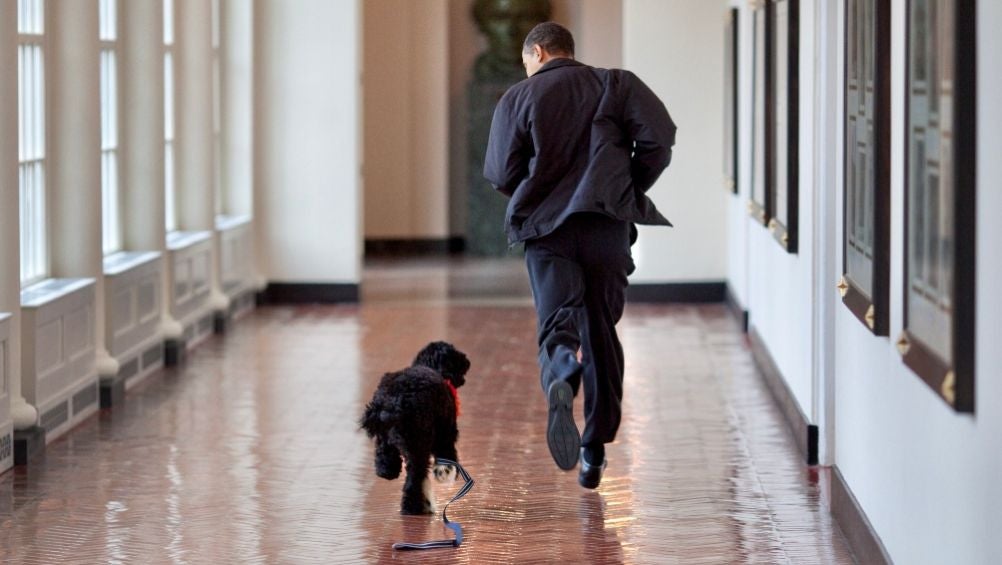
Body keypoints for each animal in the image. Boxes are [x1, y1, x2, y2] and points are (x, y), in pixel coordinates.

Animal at [360, 342, 468, 512]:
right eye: (457, 359)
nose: (467, 361)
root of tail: (395, 401)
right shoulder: (445, 435)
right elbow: (448, 456)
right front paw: (445, 472)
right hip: (419, 445)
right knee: (414, 478)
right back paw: (412, 506)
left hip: (388, 437)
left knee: (384, 456)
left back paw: (387, 471)